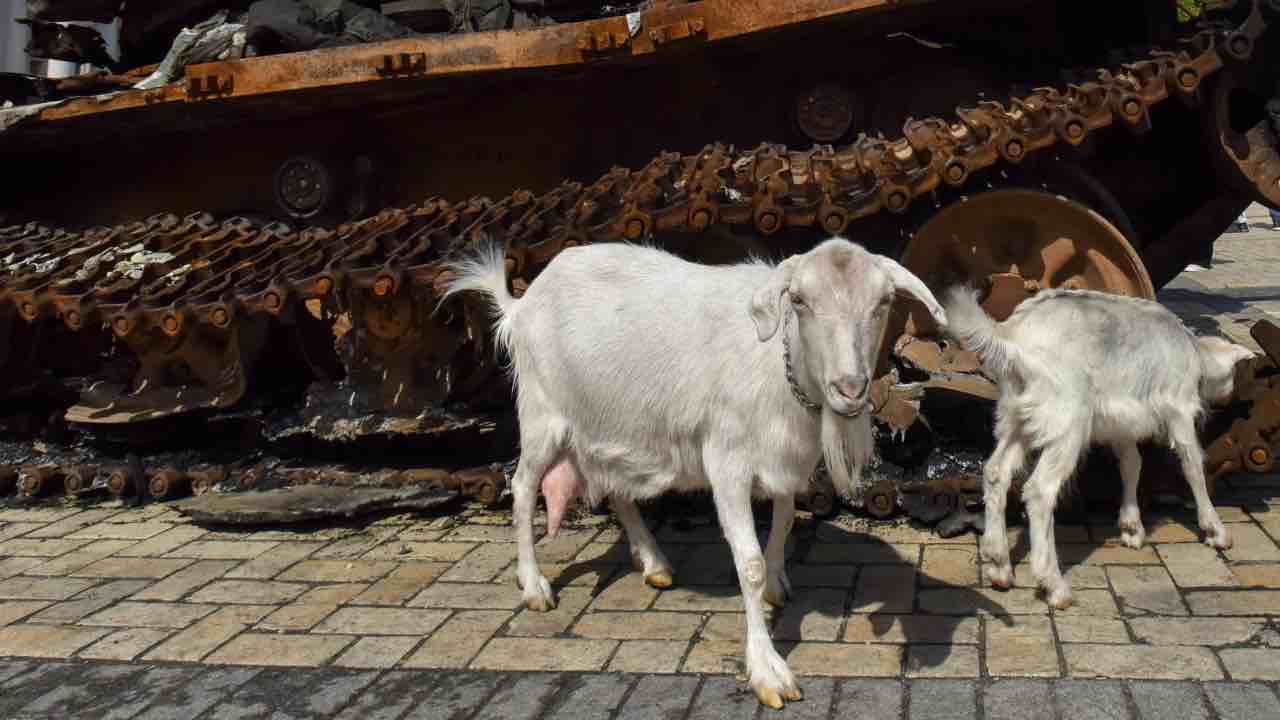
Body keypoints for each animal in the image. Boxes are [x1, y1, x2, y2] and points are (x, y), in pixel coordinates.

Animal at [445, 237, 947, 707]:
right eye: (800, 301)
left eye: (883, 302)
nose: (849, 389)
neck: (777, 366)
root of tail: (521, 304)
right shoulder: (727, 462)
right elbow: (748, 565)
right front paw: (767, 671)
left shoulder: (785, 461)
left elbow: (784, 523)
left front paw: (777, 584)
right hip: (542, 413)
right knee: (523, 486)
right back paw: (534, 586)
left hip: (612, 423)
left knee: (618, 489)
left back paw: (653, 562)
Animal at [947, 285, 1254, 604]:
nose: (1230, 395)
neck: (1194, 351)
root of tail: (1012, 334)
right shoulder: (1179, 409)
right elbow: (1192, 466)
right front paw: (1215, 530)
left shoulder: (1122, 423)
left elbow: (1131, 465)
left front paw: (1131, 526)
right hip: (1067, 419)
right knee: (1040, 491)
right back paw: (1053, 584)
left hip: (1018, 416)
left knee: (996, 472)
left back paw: (999, 564)